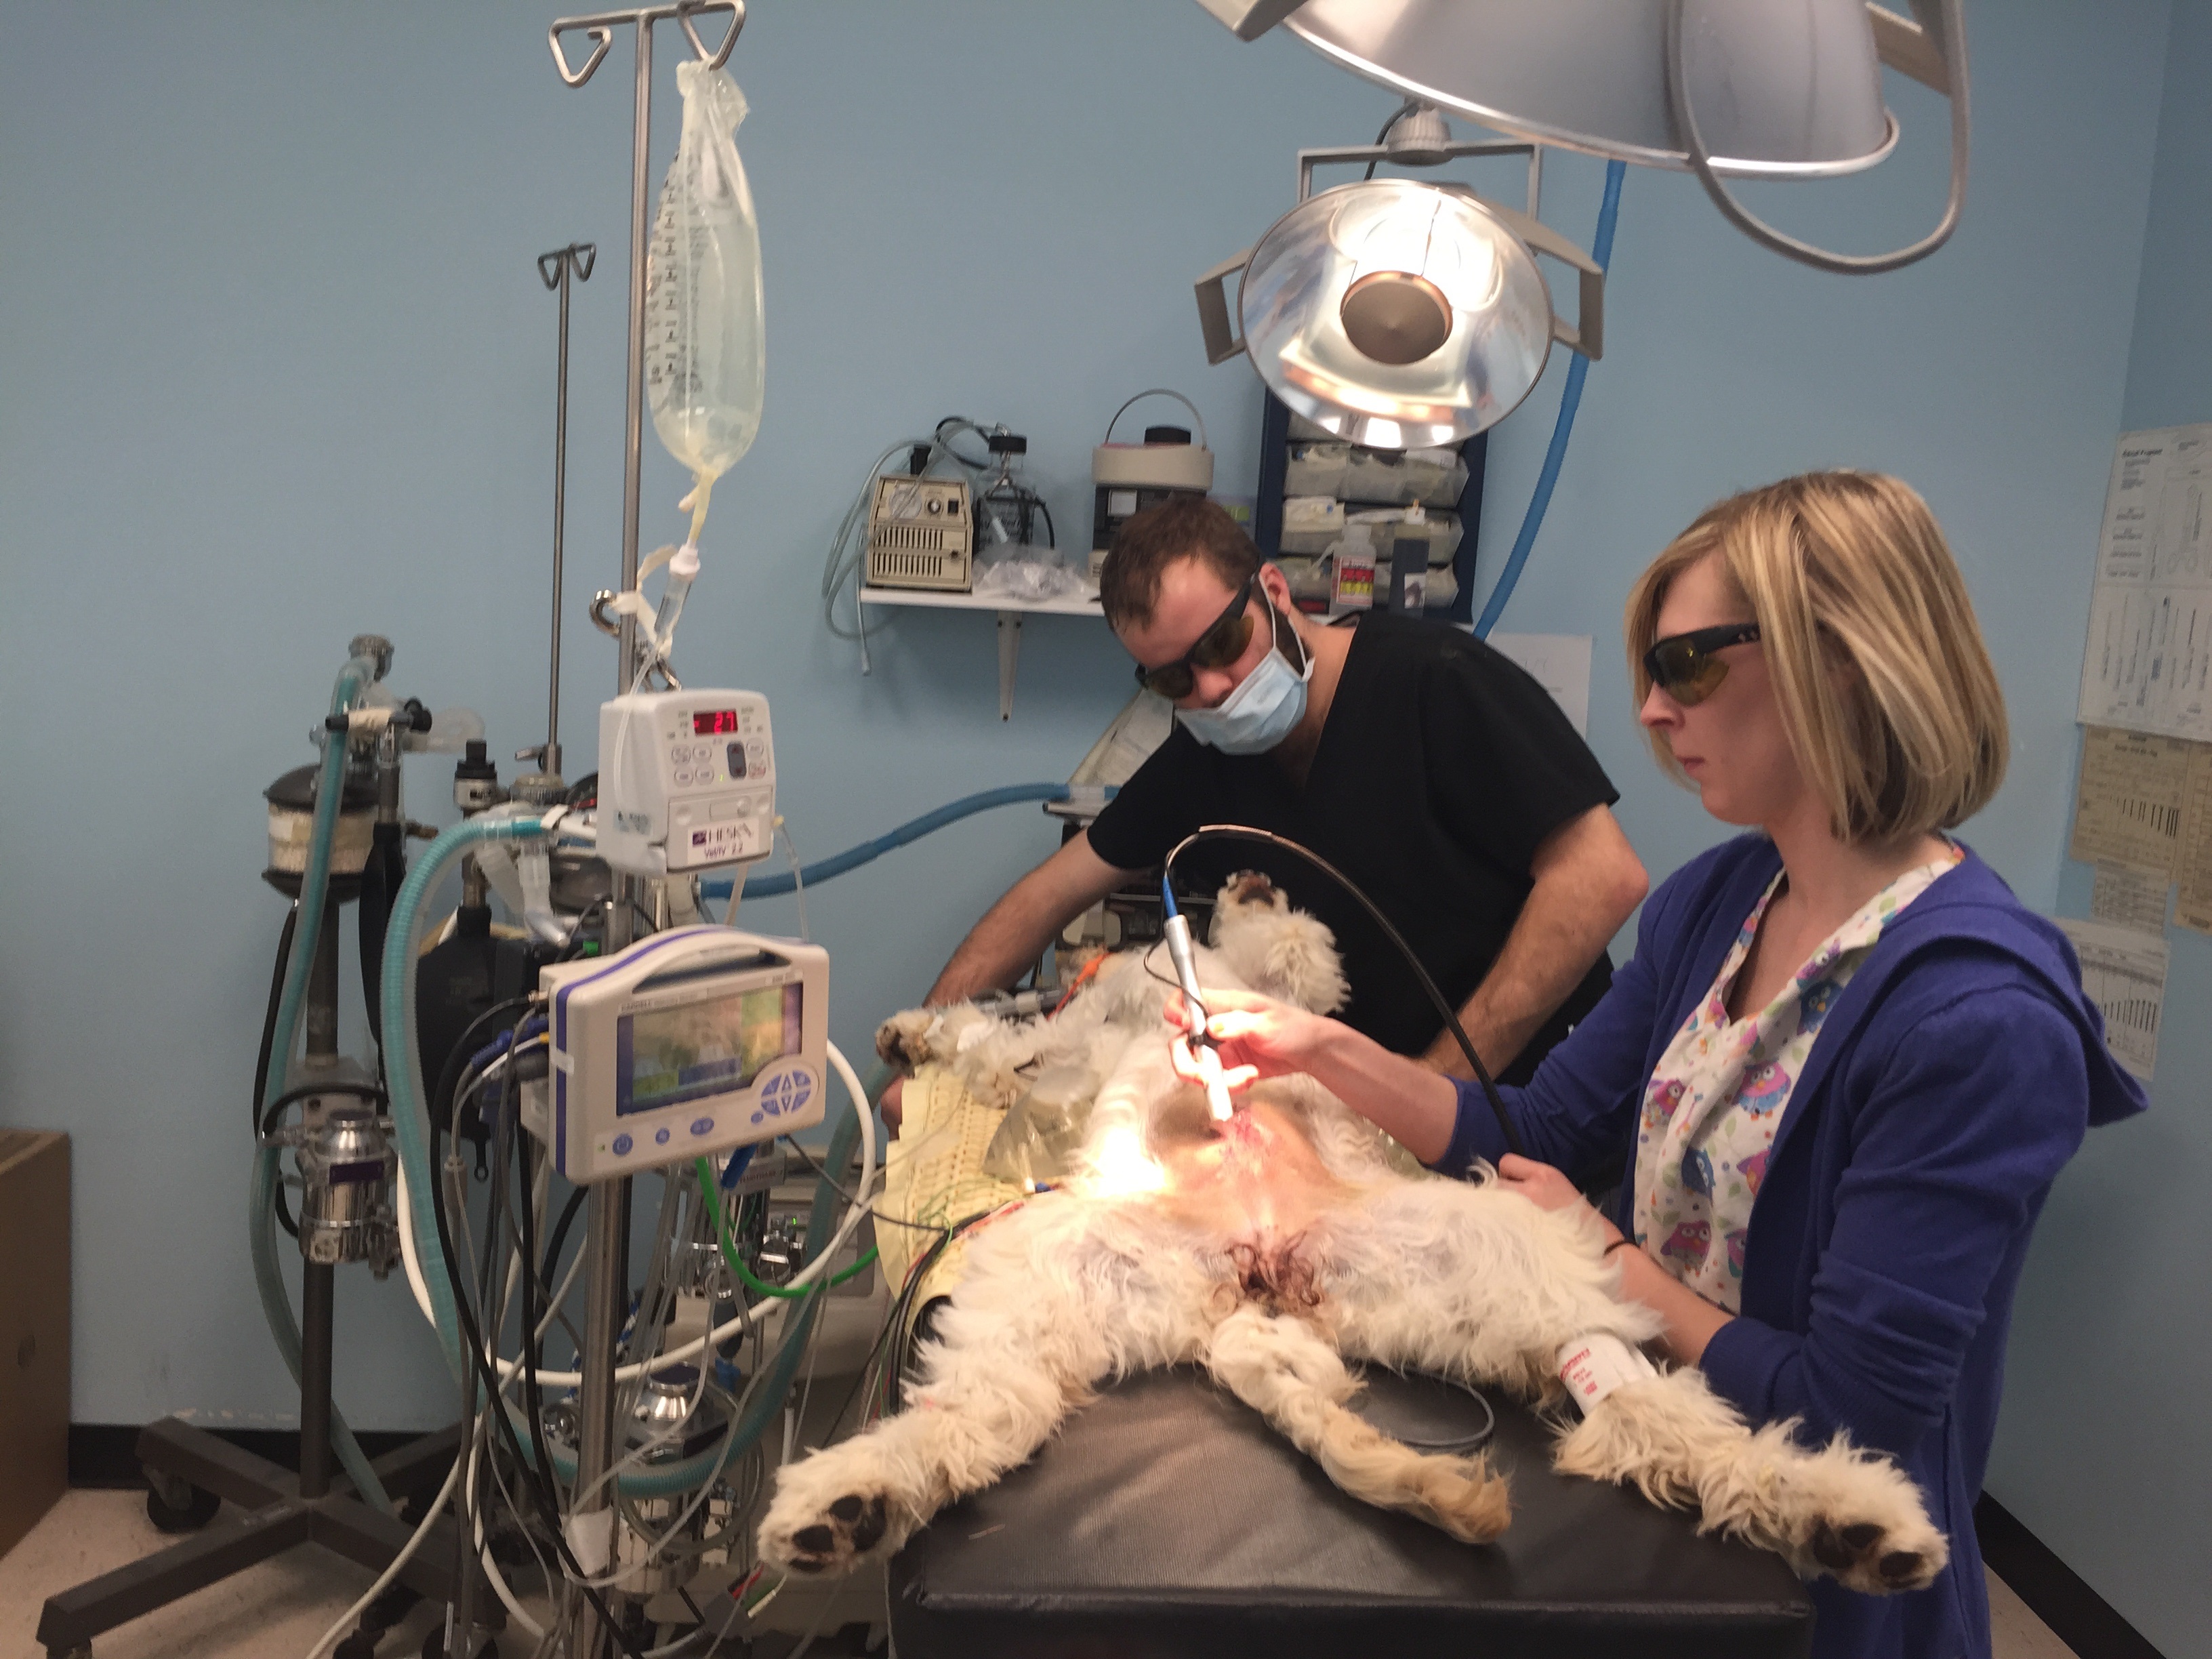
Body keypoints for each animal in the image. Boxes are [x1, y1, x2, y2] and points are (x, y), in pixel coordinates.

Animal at [760, 884, 1938, 1601]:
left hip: (1486, 1256)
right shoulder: (1077, 1040)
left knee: (1668, 1424)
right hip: (1067, 1276)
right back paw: (848, 1505)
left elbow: (1281, 966)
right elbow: (1004, 1037)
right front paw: (924, 1035)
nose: (1245, 872)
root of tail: (1256, 1269)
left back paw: (1847, 1520)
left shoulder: (1231, 999)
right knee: (976, 1416)